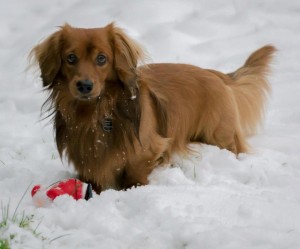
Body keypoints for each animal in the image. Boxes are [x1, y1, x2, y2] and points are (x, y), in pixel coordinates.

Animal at [31, 22, 276, 192]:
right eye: (71, 58)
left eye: (102, 58)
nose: (84, 85)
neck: (97, 112)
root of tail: (216, 75)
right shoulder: (87, 158)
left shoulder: (149, 150)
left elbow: (134, 173)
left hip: (220, 136)